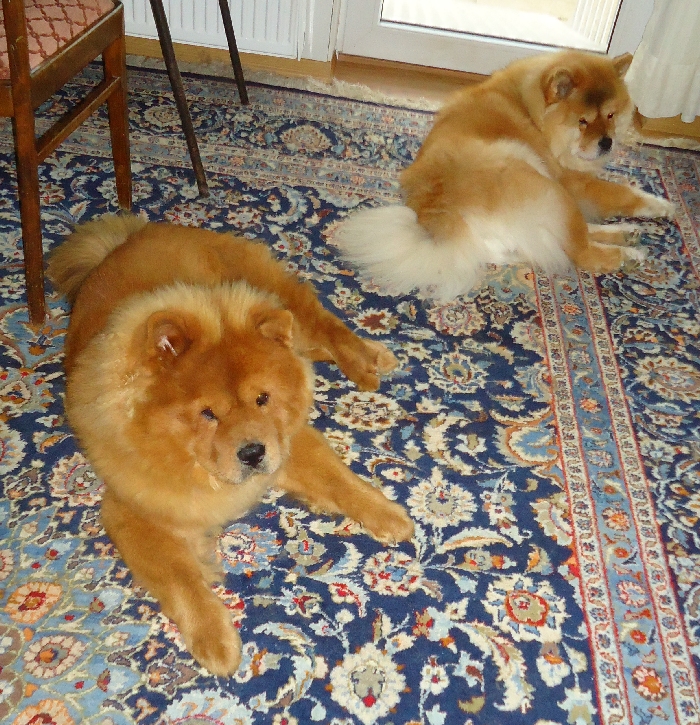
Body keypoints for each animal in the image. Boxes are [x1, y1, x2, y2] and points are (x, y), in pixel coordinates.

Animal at [47, 214, 414, 676]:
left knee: (327, 327)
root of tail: (133, 236)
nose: (253, 453)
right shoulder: (129, 510)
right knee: (310, 346)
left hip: (270, 296)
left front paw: (390, 516)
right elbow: (180, 579)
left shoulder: (286, 441)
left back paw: (368, 364)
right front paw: (216, 640)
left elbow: (343, 481)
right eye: (208, 414)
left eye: (261, 399)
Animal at [336, 50, 675, 300]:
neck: (532, 114)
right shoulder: (572, 181)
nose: (607, 142)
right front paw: (664, 205)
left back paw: (625, 233)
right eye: (583, 122)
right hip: (547, 185)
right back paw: (626, 254)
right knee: (580, 250)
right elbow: (624, 192)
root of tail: (441, 214)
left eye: (610, 116)